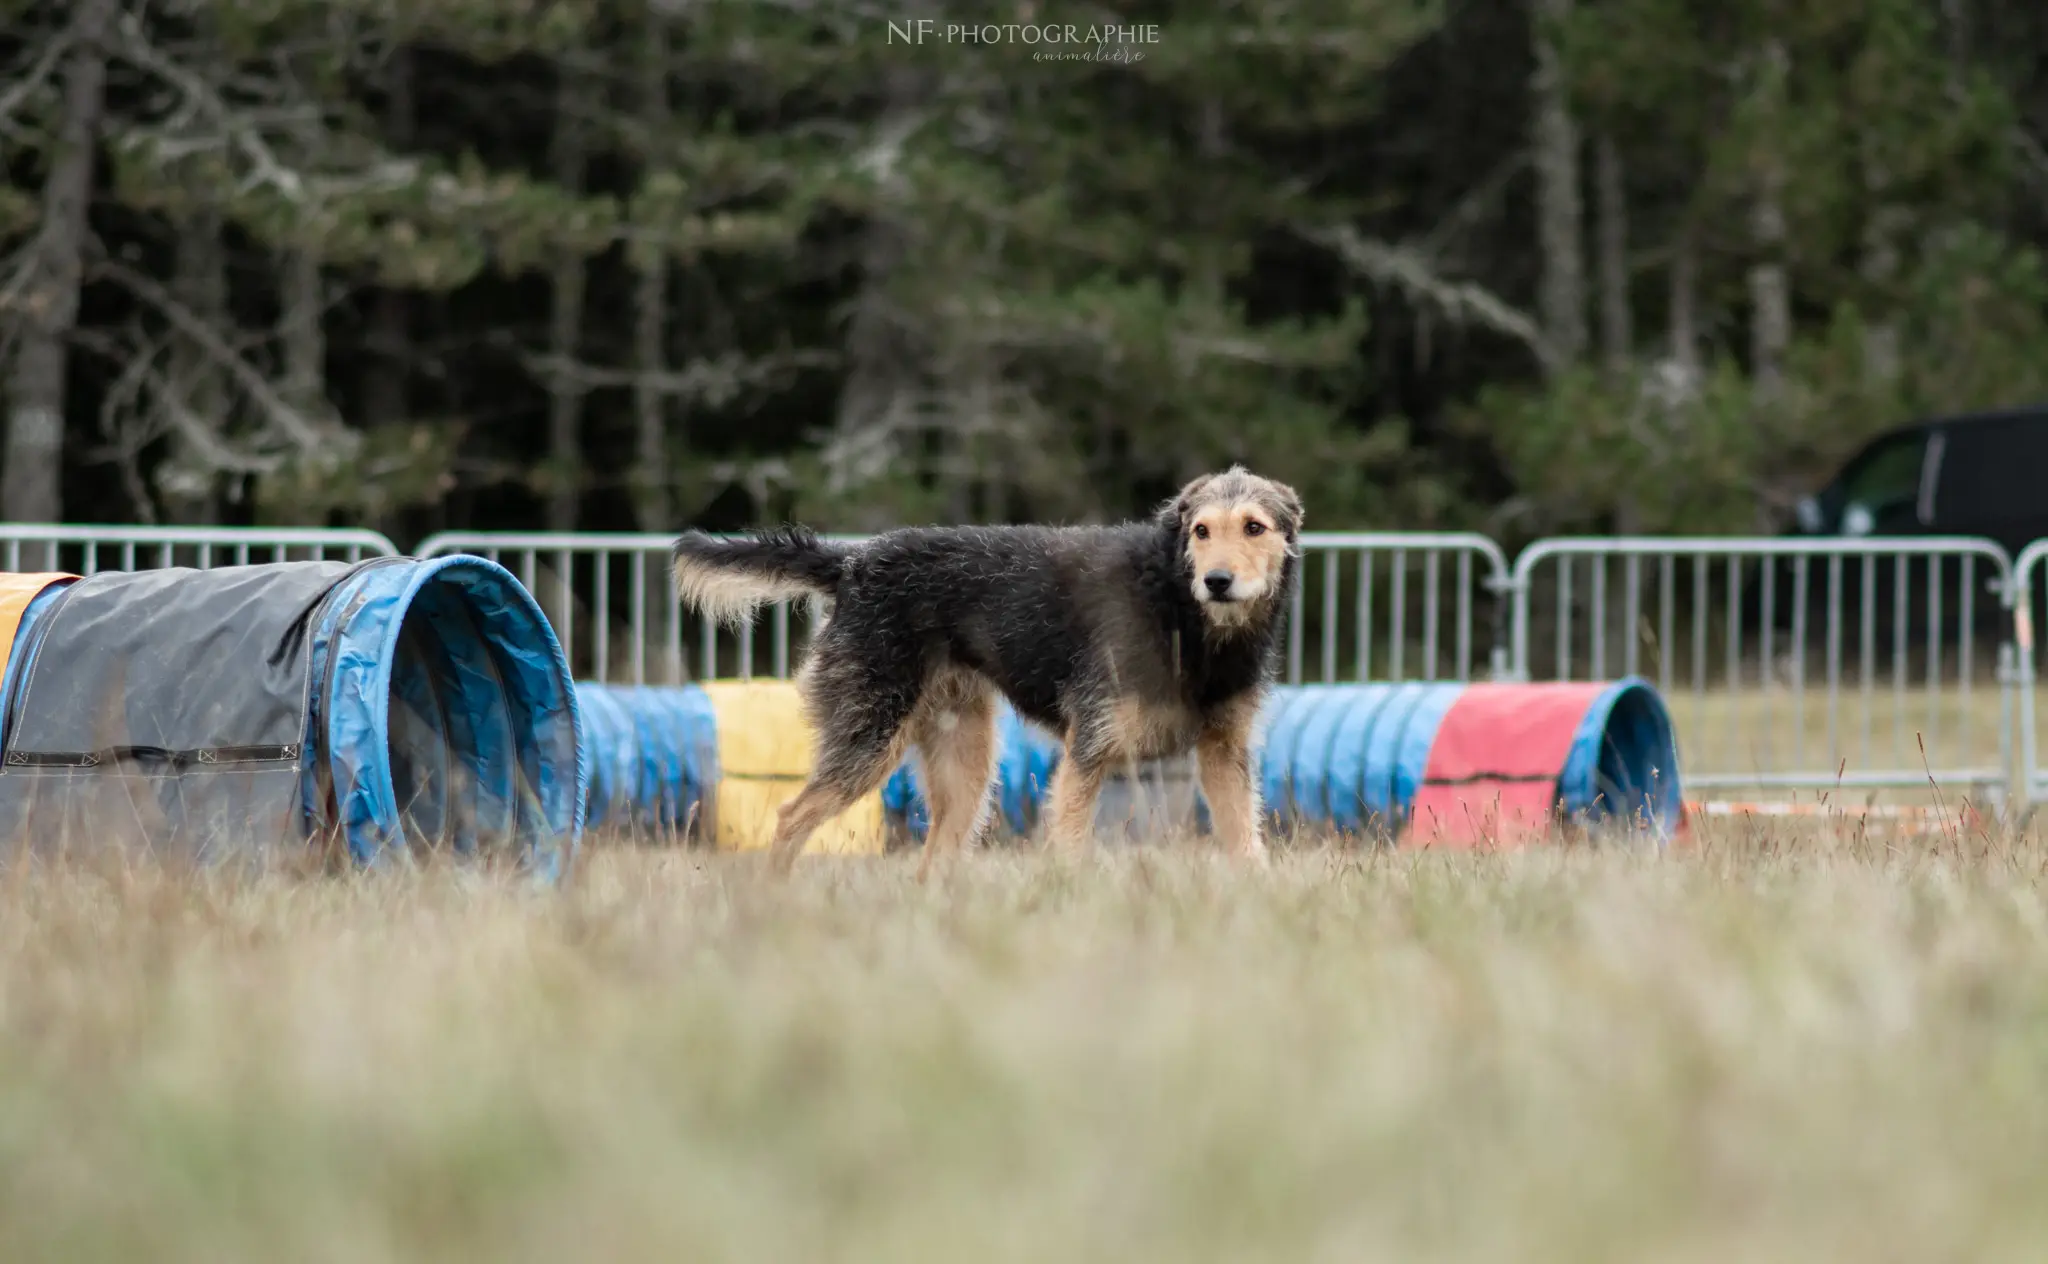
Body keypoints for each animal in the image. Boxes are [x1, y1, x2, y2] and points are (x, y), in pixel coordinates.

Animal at [675, 465, 1310, 876]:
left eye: (1254, 527)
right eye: (1201, 530)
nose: (1217, 581)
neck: (1178, 607)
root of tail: (852, 562)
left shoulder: (1224, 755)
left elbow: (1246, 846)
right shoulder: (1089, 753)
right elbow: (1070, 846)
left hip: (965, 765)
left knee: (932, 858)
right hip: (869, 739)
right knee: (789, 818)